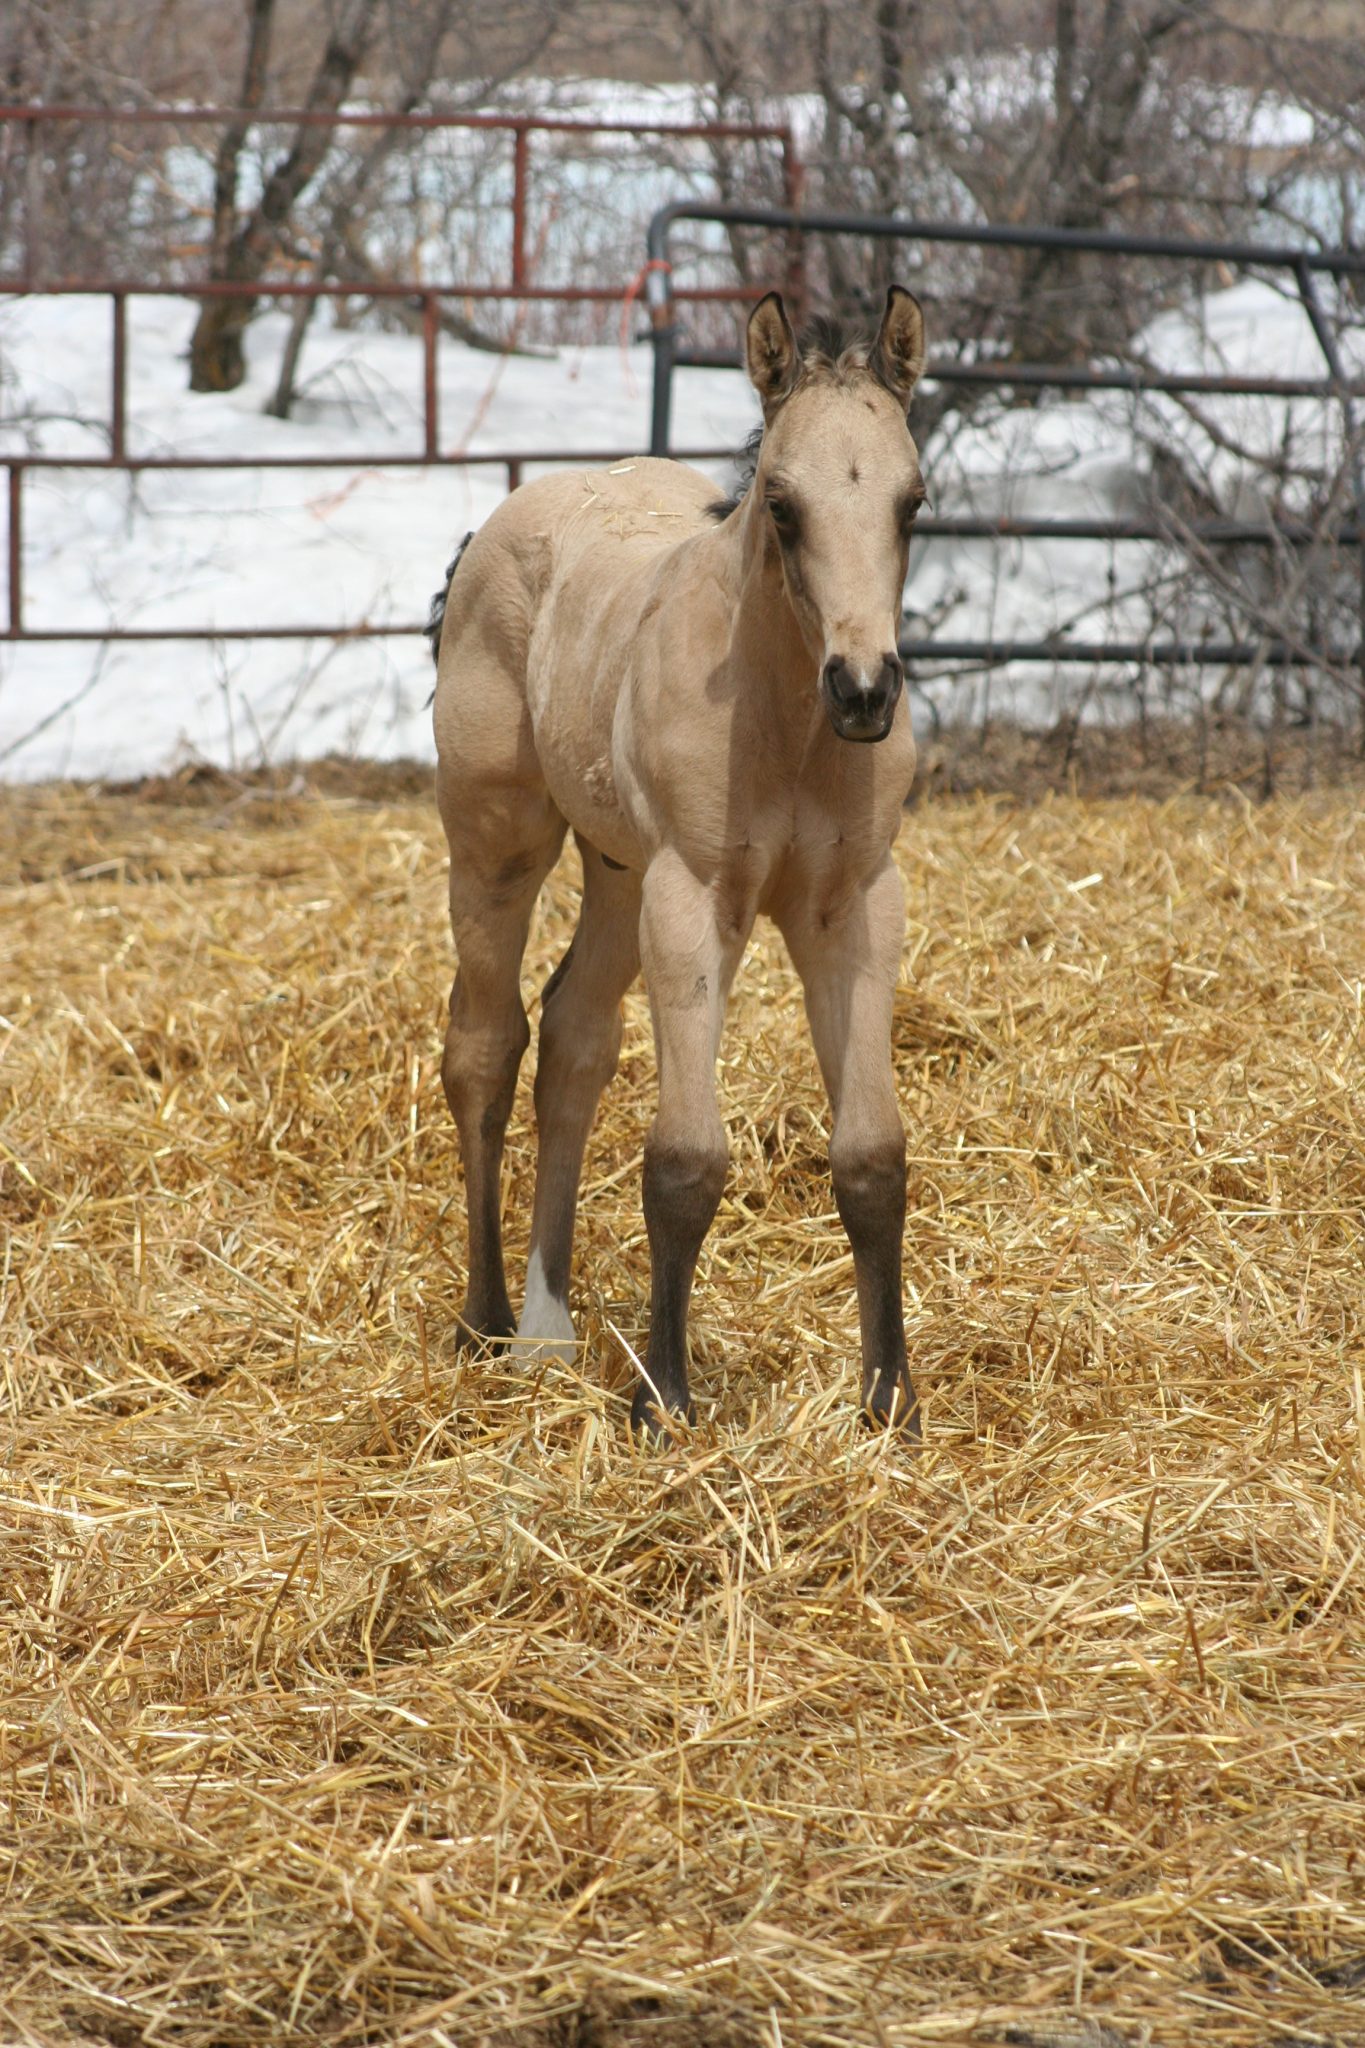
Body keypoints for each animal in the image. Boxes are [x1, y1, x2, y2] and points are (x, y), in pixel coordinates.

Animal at [429, 285, 929, 1437]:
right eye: (782, 506)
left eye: (912, 504)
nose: (865, 689)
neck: (783, 725)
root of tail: (502, 522)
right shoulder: (694, 898)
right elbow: (686, 1160)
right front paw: (663, 1397)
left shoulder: (855, 905)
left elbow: (872, 1156)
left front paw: (890, 1398)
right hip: (497, 840)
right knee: (484, 1043)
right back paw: (485, 1320)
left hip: (618, 869)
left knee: (572, 1038)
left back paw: (547, 1328)